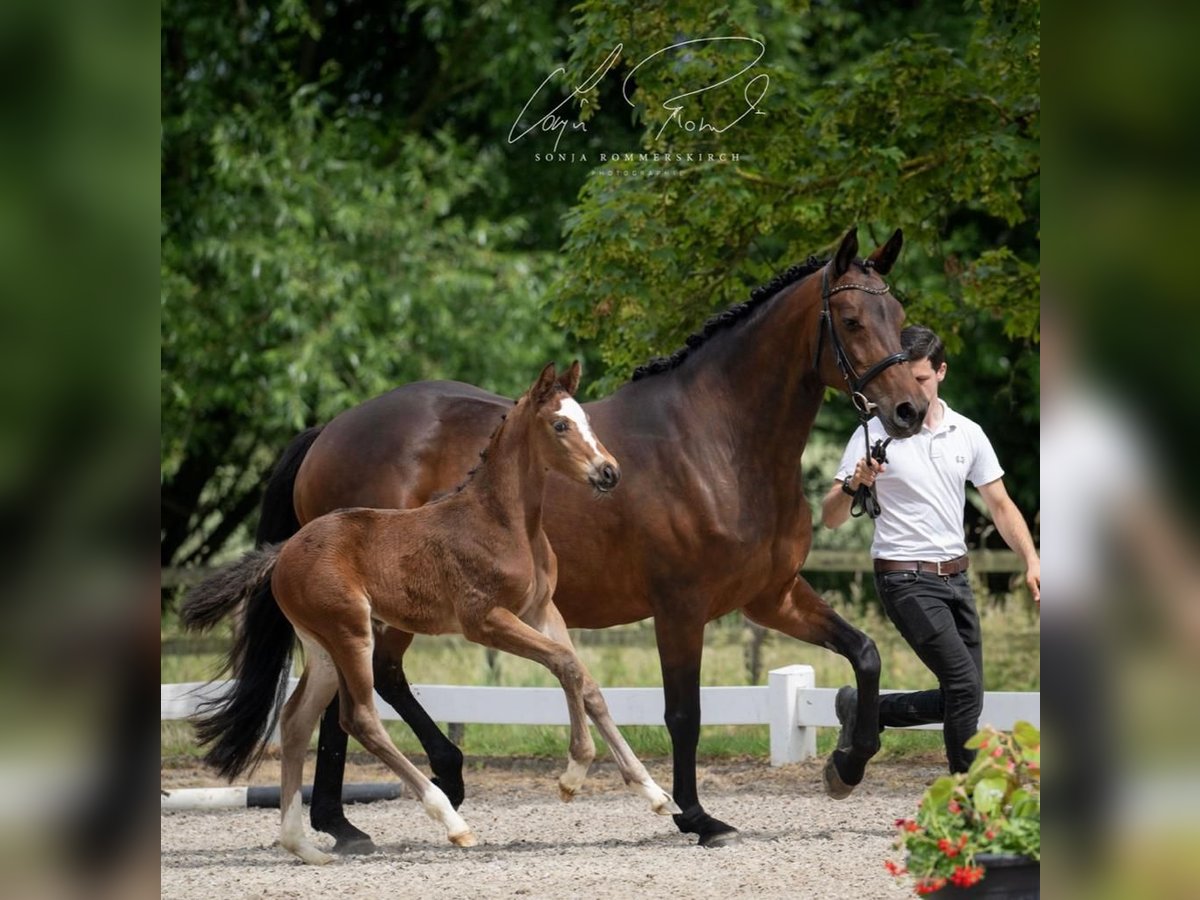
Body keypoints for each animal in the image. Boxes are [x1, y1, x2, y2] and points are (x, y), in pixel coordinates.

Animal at [182, 362, 681, 864]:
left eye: (587, 420)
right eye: (560, 425)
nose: (609, 472)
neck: (504, 522)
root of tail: (284, 551)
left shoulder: (541, 611)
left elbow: (587, 682)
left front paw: (654, 793)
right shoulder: (485, 621)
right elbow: (565, 666)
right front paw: (573, 774)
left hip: (322, 648)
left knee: (295, 719)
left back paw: (302, 844)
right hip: (351, 634)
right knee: (360, 718)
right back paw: (451, 821)